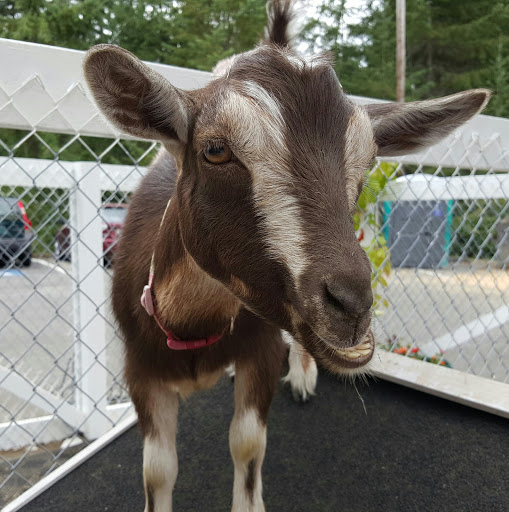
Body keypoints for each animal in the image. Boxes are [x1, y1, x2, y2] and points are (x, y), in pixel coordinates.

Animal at [83, 2, 488, 510]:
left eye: (368, 162)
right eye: (215, 149)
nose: (352, 306)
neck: (193, 327)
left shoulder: (260, 350)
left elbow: (247, 444)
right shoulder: (140, 371)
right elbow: (157, 471)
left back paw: (302, 374)